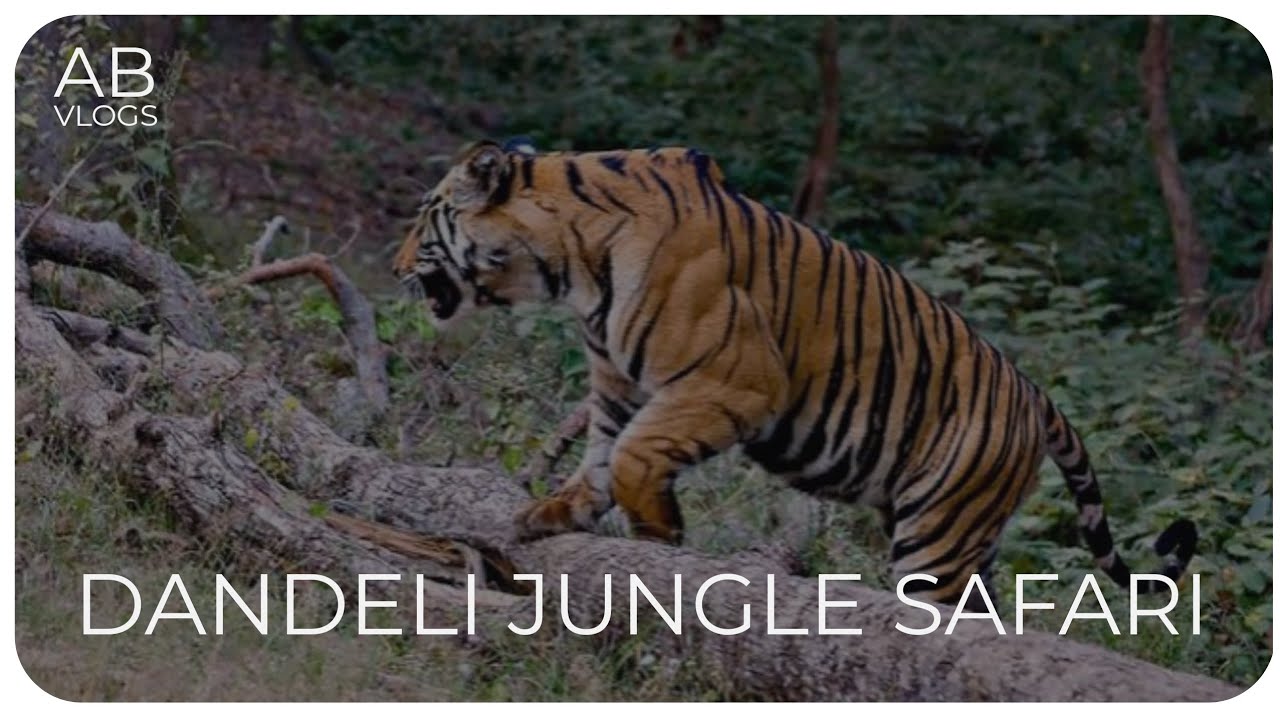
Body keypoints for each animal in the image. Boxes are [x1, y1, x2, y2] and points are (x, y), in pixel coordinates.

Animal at [392, 139, 1197, 607]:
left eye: (424, 216)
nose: (394, 268)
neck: (569, 268)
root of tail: (1035, 395)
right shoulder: (617, 384)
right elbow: (600, 456)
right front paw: (553, 513)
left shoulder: (737, 380)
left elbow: (634, 456)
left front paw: (657, 533)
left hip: (940, 532)